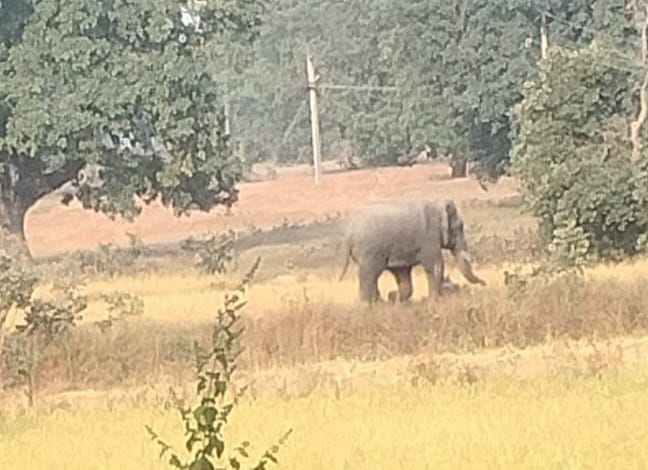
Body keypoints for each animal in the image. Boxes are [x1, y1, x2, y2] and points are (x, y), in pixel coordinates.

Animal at [340, 197, 486, 302]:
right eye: (459, 227)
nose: (484, 283)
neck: (436, 204)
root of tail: (349, 233)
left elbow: (402, 272)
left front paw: (395, 298)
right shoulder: (429, 236)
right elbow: (436, 264)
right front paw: (435, 301)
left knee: (373, 276)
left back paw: (379, 302)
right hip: (369, 251)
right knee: (370, 274)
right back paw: (367, 305)